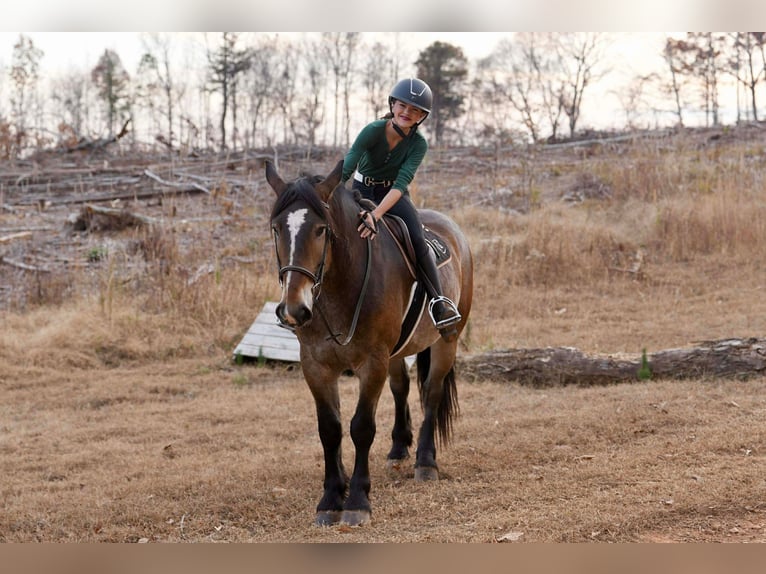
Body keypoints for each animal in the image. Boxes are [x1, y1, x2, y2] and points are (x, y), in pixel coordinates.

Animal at [265, 159, 473, 527]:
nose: (293, 309)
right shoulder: (315, 365)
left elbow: (361, 427)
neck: (339, 286)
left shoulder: (372, 362)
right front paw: (331, 498)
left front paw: (357, 501)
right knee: (402, 387)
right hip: (396, 352)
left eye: (321, 230)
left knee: (432, 393)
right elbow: (330, 429)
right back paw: (398, 449)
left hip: (446, 341)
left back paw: (425, 461)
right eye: (277, 229)